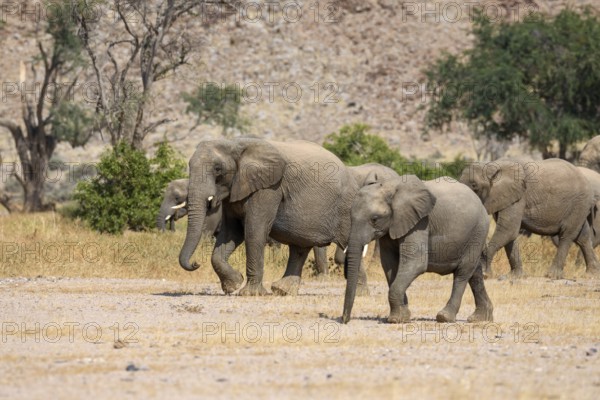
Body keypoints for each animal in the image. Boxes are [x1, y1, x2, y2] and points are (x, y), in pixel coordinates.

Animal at [178, 139, 360, 296]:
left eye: (217, 169)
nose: (195, 263)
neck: (234, 144)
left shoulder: (269, 187)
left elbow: (254, 231)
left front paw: (250, 294)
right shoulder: (235, 190)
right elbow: (231, 233)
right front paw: (233, 285)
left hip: (345, 207)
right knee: (300, 247)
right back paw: (282, 291)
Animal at [342, 176, 492, 324]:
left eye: (375, 219)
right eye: (349, 216)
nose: (344, 320)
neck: (390, 187)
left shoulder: (419, 222)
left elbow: (416, 263)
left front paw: (396, 320)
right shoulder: (391, 225)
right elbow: (390, 265)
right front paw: (402, 316)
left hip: (478, 230)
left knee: (463, 273)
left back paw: (444, 317)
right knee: (475, 273)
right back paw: (480, 318)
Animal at [460, 159, 600, 278]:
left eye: (474, 186)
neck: (492, 165)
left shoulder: (518, 197)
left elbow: (508, 230)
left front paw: (485, 273)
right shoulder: (504, 198)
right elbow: (510, 235)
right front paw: (515, 276)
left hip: (579, 203)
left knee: (567, 235)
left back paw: (552, 275)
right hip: (580, 206)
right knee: (583, 236)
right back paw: (592, 274)